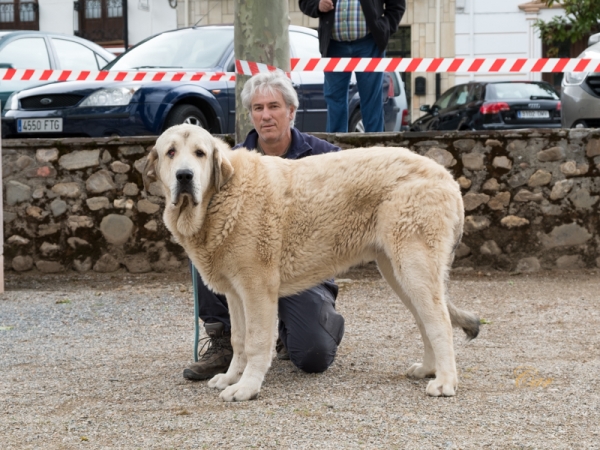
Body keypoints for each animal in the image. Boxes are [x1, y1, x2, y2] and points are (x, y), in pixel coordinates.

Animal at [148, 125, 480, 402]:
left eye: (200, 153)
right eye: (171, 152)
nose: (184, 176)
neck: (220, 196)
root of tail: (445, 176)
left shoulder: (257, 290)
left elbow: (256, 342)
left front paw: (247, 387)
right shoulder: (235, 293)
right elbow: (238, 339)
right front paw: (231, 377)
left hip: (414, 268)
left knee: (439, 321)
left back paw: (445, 382)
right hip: (397, 272)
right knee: (426, 320)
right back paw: (428, 369)